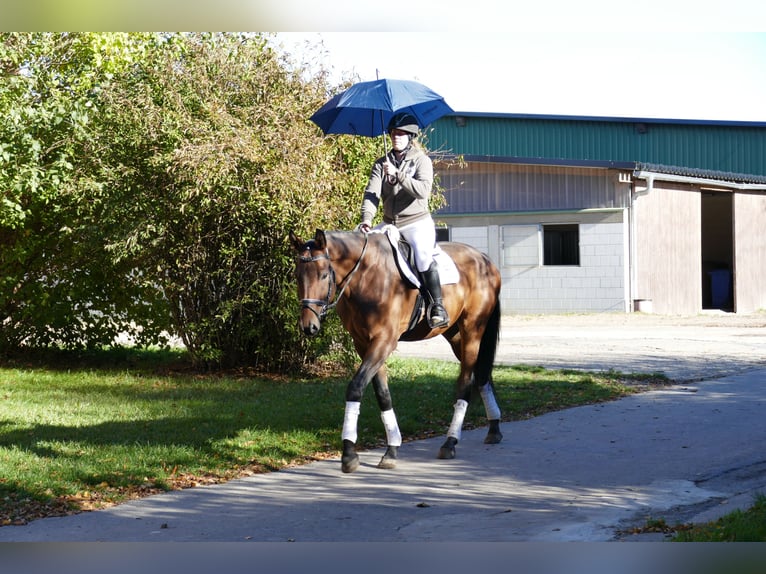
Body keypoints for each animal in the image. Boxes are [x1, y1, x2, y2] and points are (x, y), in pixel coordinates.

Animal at [290, 228, 503, 473]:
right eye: (297, 276)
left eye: (324, 275)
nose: (309, 326)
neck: (366, 276)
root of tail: (484, 259)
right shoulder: (364, 344)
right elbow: (383, 394)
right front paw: (391, 449)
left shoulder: (384, 341)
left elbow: (355, 387)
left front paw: (349, 454)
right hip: (455, 334)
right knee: (482, 374)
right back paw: (494, 428)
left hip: (472, 331)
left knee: (466, 381)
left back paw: (450, 442)